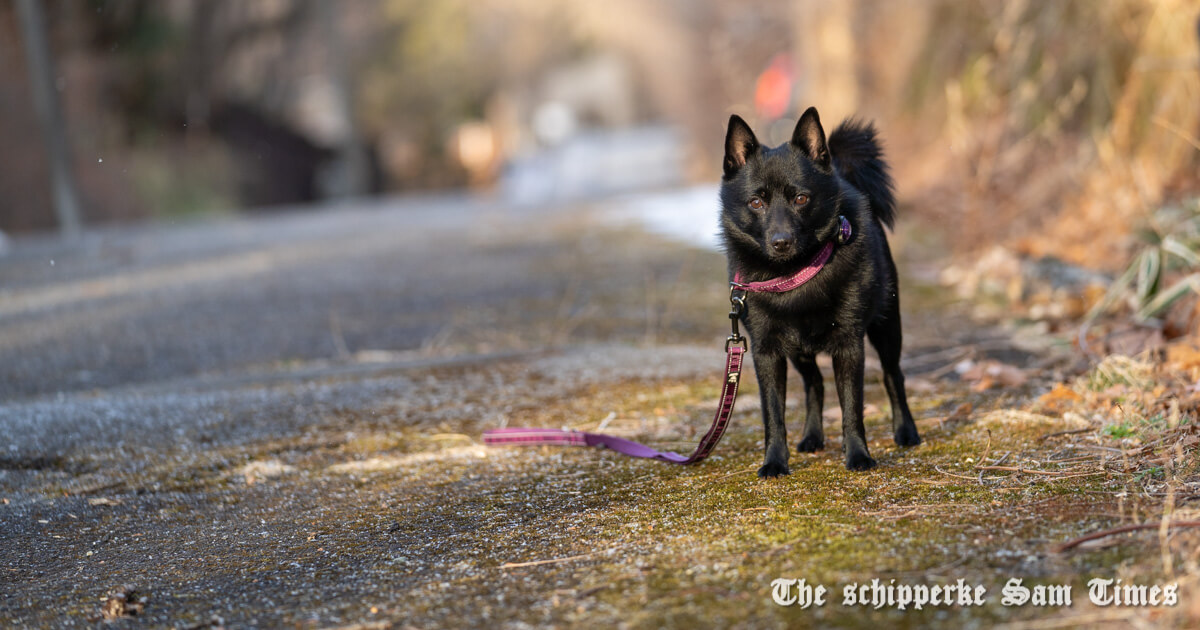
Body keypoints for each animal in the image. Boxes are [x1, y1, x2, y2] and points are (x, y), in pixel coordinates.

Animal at [720, 106, 916, 477]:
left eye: (801, 198)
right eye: (755, 202)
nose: (781, 242)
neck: (795, 276)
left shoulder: (849, 345)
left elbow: (852, 407)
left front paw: (858, 456)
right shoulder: (767, 351)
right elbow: (773, 414)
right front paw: (774, 461)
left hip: (887, 325)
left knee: (892, 376)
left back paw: (907, 432)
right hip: (798, 351)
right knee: (815, 383)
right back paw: (812, 437)